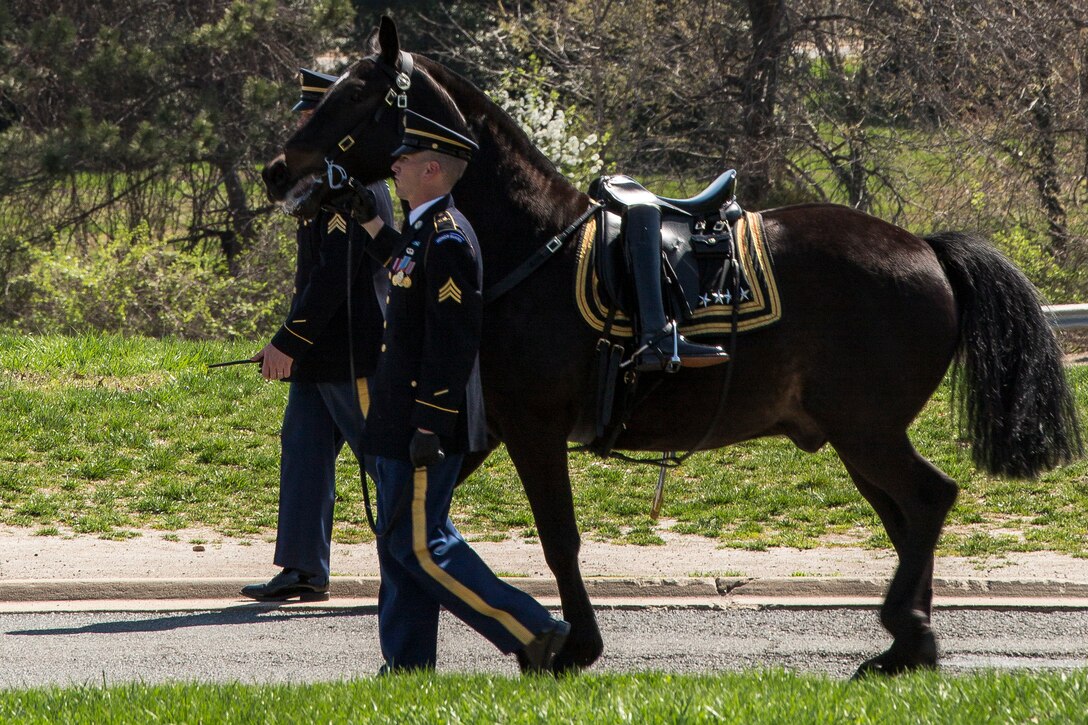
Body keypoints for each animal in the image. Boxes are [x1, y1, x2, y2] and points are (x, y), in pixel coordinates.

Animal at [265, 16, 1079, 674]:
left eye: (355, 97)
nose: (279, 169)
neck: (529, 248)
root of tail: (927, 248)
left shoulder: (531, 427)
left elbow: (558, 537)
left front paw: (576, 645)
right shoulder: (477, 426)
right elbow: (420, 523)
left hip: (867, 430)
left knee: (929, 500)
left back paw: (904, 631)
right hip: (860, 435)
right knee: (908, 517)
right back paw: (909, 641)